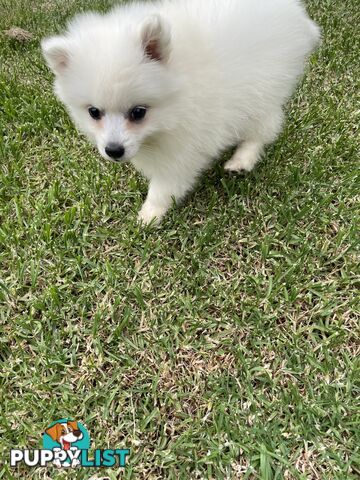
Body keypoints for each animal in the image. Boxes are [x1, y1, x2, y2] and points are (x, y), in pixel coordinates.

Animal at [40, 0, 320, 225]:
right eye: (94, 112)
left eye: (138, 112)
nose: (114, 150)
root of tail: (294, 12)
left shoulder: (187, 142)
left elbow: (168, 181)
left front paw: (149, 214)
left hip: (263, 90)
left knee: (263, 129)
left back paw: (242, 160)